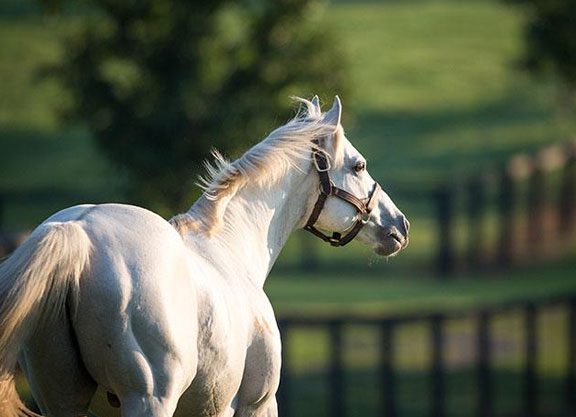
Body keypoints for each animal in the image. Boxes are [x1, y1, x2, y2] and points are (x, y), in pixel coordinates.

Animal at [0, 96, 410, 416]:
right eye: (358, 165)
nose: (400, 226)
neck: (230, 247)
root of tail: (79, 234)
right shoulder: (256, 404)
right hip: (150, 400)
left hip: (63, 402)